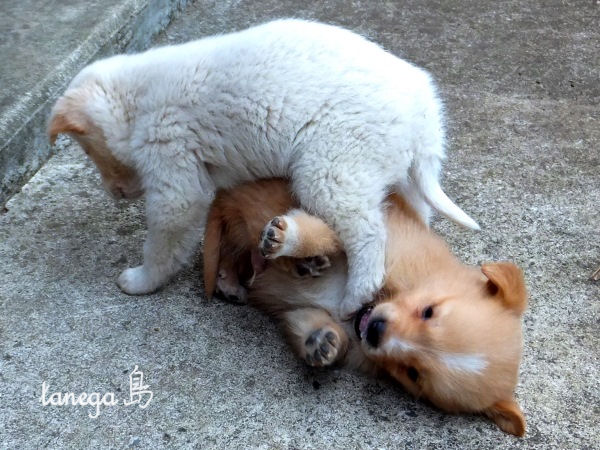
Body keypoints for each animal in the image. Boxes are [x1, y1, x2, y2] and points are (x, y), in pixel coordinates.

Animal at [47, 19, 479, 318]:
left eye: (87, 150)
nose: (115, 195)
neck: (134, 104)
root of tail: (422, 108)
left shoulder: (173, 169)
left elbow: (162, 243)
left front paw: (140, 280)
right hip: (397, 176)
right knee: (410, 221)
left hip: (330, 168)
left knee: (370, 235)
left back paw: (352, 298)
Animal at [203, 178, 527, 436]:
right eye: (428, 311)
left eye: (414, 374)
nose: (374, 330)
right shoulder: (371, 240)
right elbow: (328, 236)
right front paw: (289, 238)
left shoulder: (301, 315)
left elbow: (309, 326)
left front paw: (323, 343)